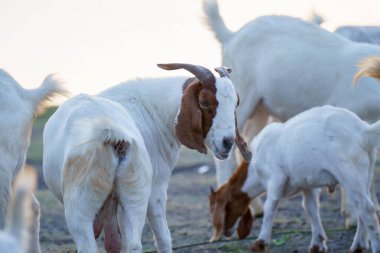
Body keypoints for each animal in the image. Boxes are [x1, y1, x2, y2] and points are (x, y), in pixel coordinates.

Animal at [43, 63, 251, 253]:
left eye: (236, 103)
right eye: (205, 102)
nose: (227, 142)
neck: (154, 111)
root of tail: (112, 133)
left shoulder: (155, 186)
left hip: (85, 203)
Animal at [203, 0, 380, 225]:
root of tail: (231, 36)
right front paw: (353, 216)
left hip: (261, 108)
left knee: (247, 145)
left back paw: (255, 207)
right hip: (241, 95)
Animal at [209, 105, 380, 253]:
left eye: (223, 207)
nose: (226, 232)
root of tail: (363, 131)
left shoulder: (276, 178)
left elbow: (270, 207)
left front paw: (260, 243)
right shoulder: (307, 185)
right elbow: (311, 208)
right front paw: (317, 244)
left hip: (349, 175)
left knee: (367, 210)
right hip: (365, 175)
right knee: (362, 210)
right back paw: (357, 246)